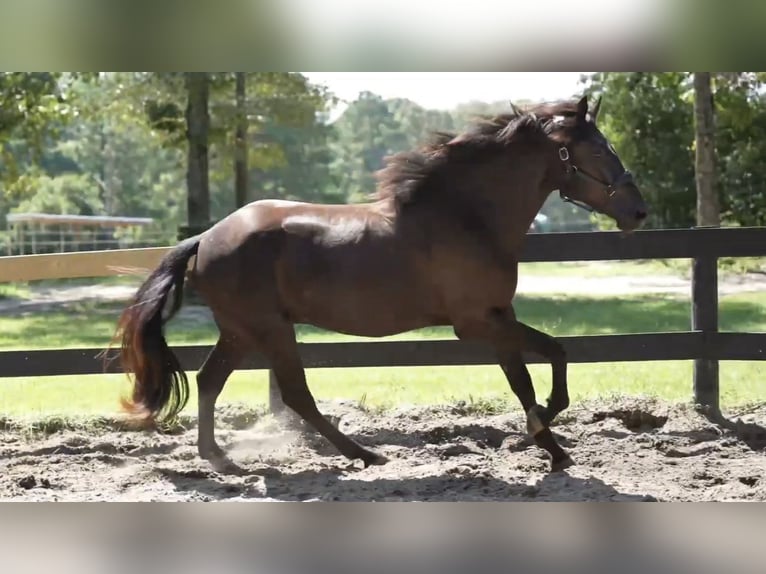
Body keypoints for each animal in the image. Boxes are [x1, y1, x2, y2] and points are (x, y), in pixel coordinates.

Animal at [112, 95, 648, 476]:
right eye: (599, 148)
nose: (638, 211)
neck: (468, 215)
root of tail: (206, 238)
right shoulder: (478, 322)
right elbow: (539, 368)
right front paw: (545, 439)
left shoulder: (500, 317)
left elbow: (542, 365)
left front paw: (543, 438)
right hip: (268, 330)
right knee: (295, 394)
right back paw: (365, 456)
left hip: (241, 332)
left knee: (210, 382)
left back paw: (222, 460)